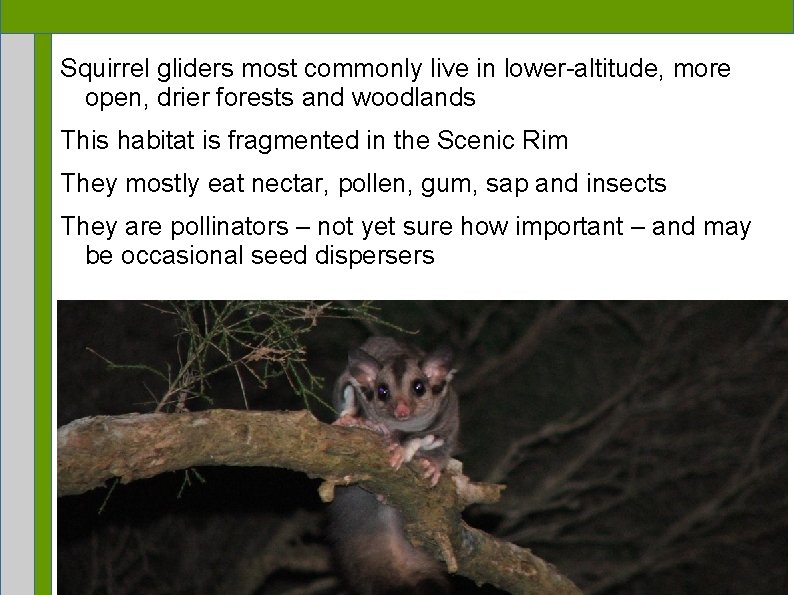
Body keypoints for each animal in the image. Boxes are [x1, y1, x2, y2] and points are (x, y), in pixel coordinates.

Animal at [328, 337, 459, 595]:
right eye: (383, 391)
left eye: (419, 388)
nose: (401, 410)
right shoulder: (347, 383)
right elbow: (350, 394)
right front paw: (358, 420)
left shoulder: (449, 416)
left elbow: (433, 441)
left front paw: (420, 459)